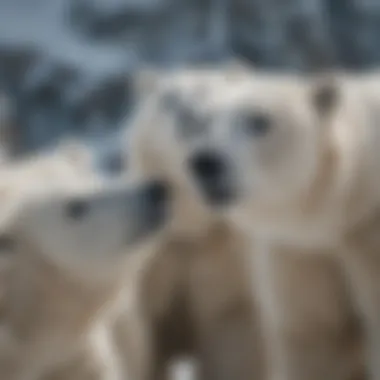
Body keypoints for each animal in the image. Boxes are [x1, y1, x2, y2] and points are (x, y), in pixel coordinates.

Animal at [125, 63, 268, 380]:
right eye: (170, 100)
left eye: (226, 102)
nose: (197, 119)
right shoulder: (157, 261)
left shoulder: (229, 269)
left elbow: (232, 347)